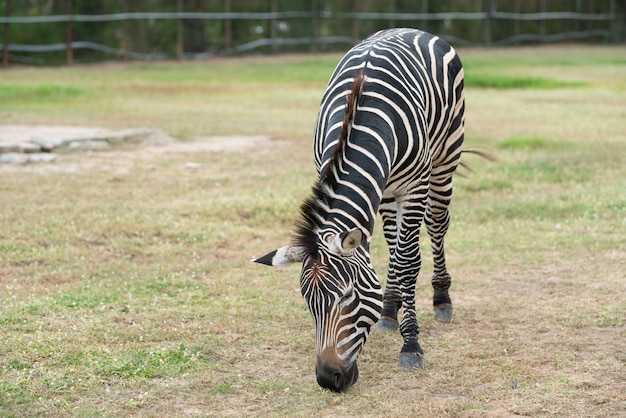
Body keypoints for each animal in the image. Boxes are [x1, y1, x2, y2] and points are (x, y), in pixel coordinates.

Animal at [252, 28, 464, 392]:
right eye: (308, 302)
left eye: (349, 296)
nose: (328, 380)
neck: (361, 120)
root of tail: (407, 29)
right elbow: (392, 252)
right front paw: (390, 308)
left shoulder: (414, 185)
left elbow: (409, 263)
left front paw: (411, 345)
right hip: (388, 191)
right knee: (394, 240)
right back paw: (390, 309)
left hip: (445, 158)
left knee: (436, 225)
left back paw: (441, 299)